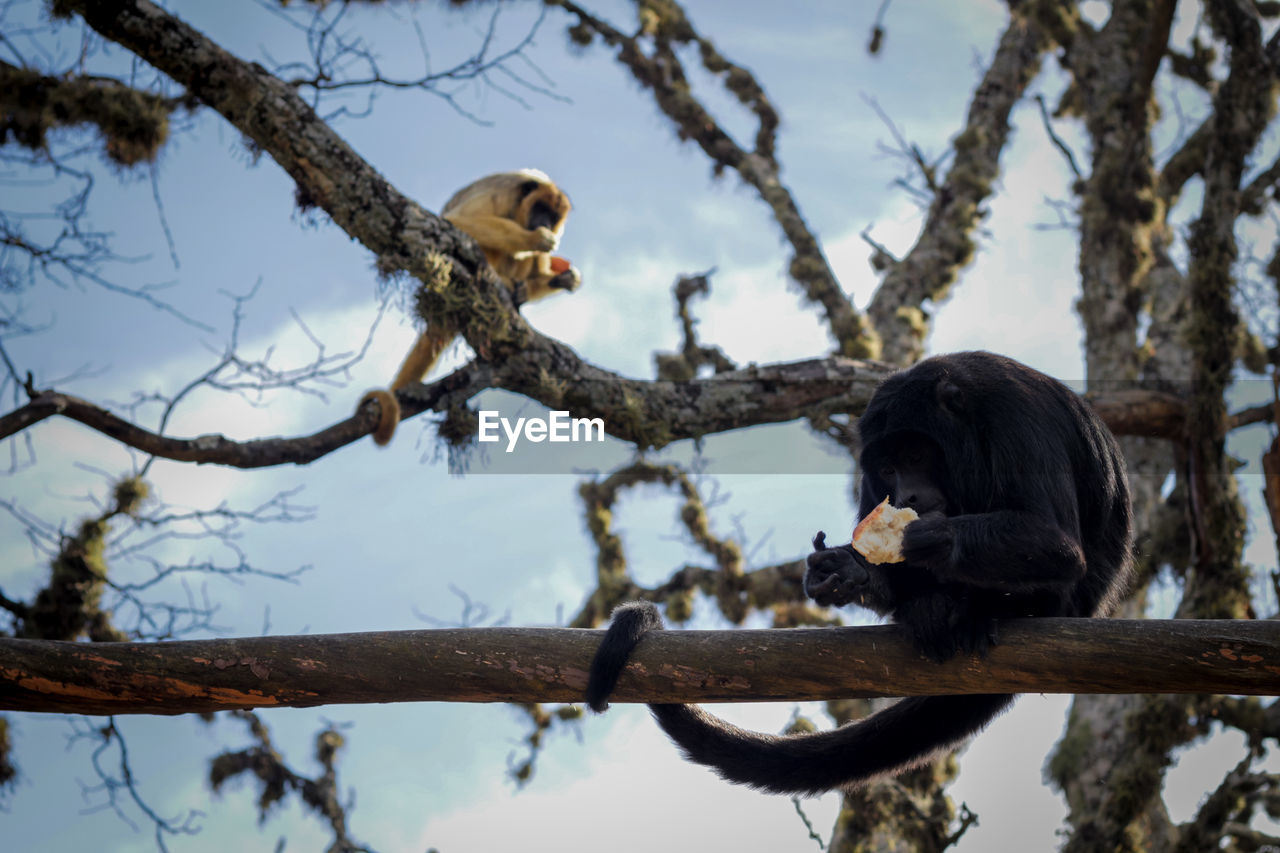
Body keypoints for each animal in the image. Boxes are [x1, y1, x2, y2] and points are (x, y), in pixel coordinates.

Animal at [360, 167, 581, 445]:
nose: (545, 223)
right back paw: (504, 283)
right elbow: (457, 221)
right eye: (540, 209)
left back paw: (527, 290)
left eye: (553, 217)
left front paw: (560, 277)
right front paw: (533, 238)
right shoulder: (503, 196)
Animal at [583, 348, 1131, 794]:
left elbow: (1059, 547)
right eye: (887, 468)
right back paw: (926, 608)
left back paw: (981, 610)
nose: (907, 494)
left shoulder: (1015, 420)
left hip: (1066, 602)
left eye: (916, 455)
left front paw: (930, 537)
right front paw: (851, 569)